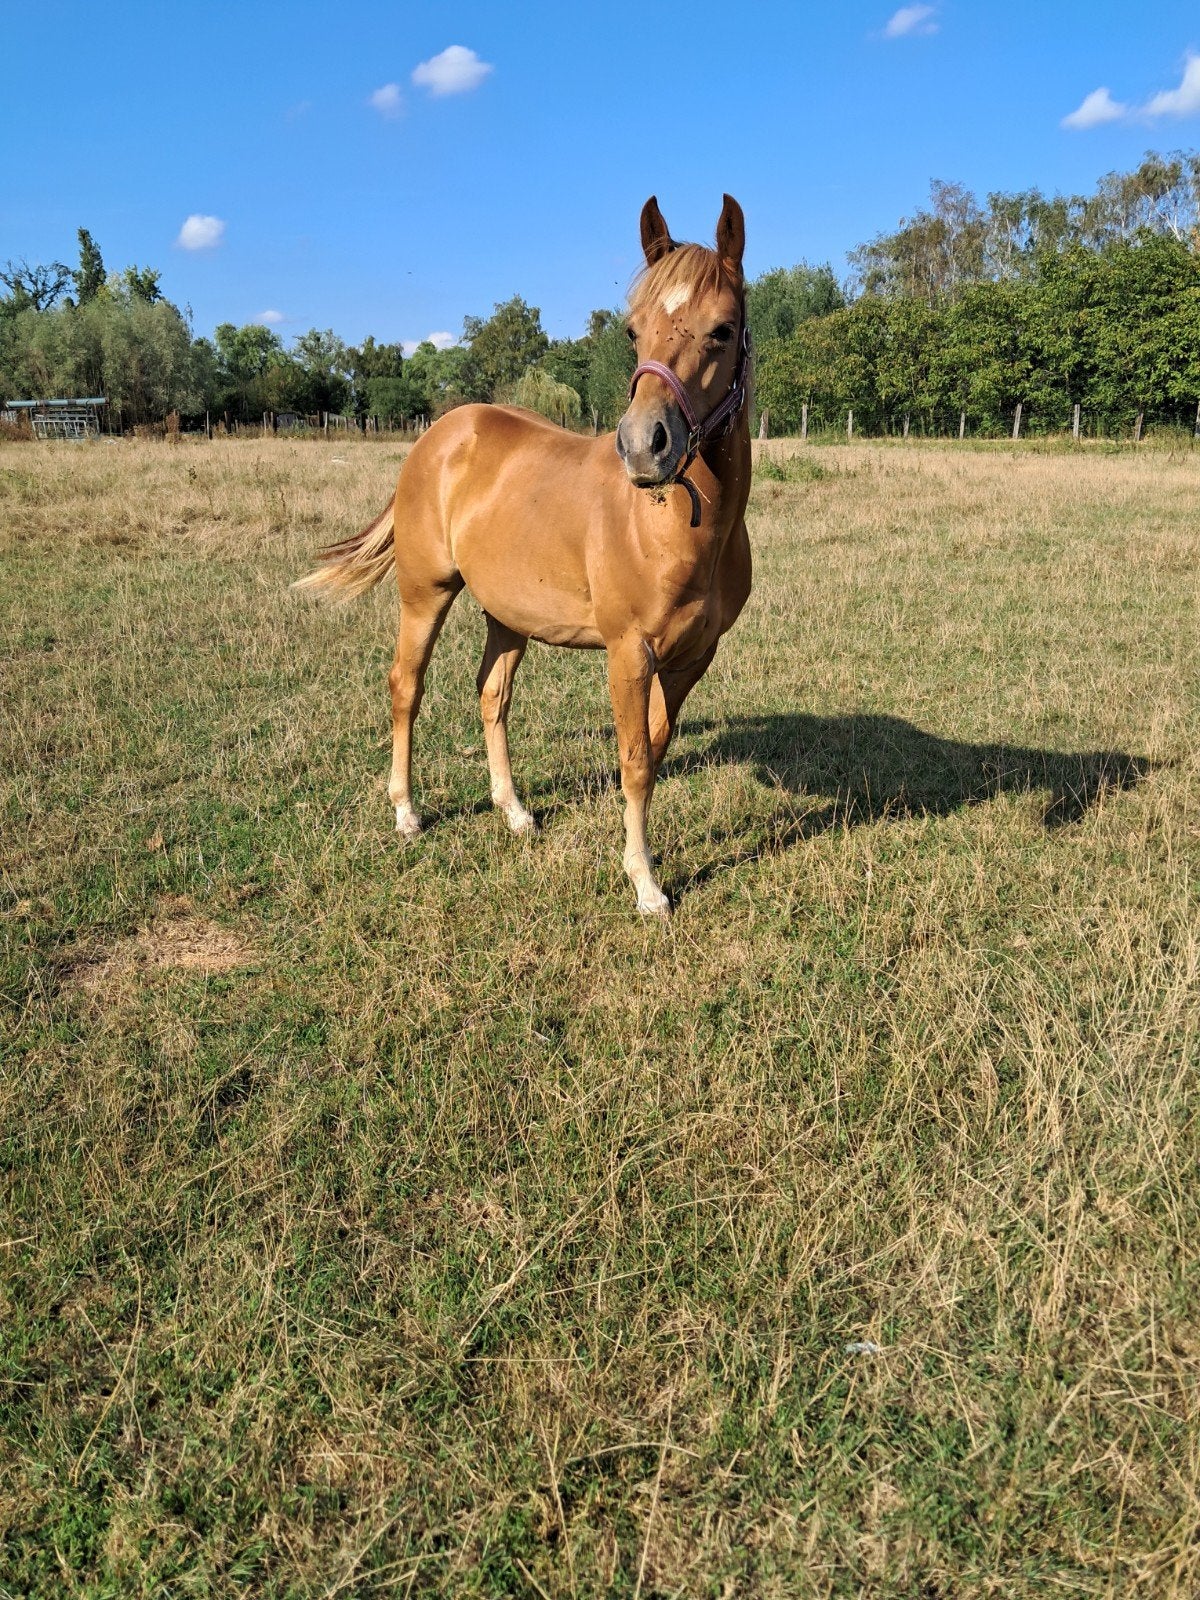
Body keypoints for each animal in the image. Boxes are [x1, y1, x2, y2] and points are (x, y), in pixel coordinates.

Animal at [297, 194, 752, 917]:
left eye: (723, 330)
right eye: (633, 331)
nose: (643, 445)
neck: (678, 531)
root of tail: (439, 435)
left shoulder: (693, 657)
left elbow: (654, 750)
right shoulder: (630, 653)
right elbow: (633, 761)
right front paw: (646, 883)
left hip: (507, 615)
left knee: (492, 697)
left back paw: (512, 810)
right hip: (425, 594)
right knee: (406, 687)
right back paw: (406, 811)